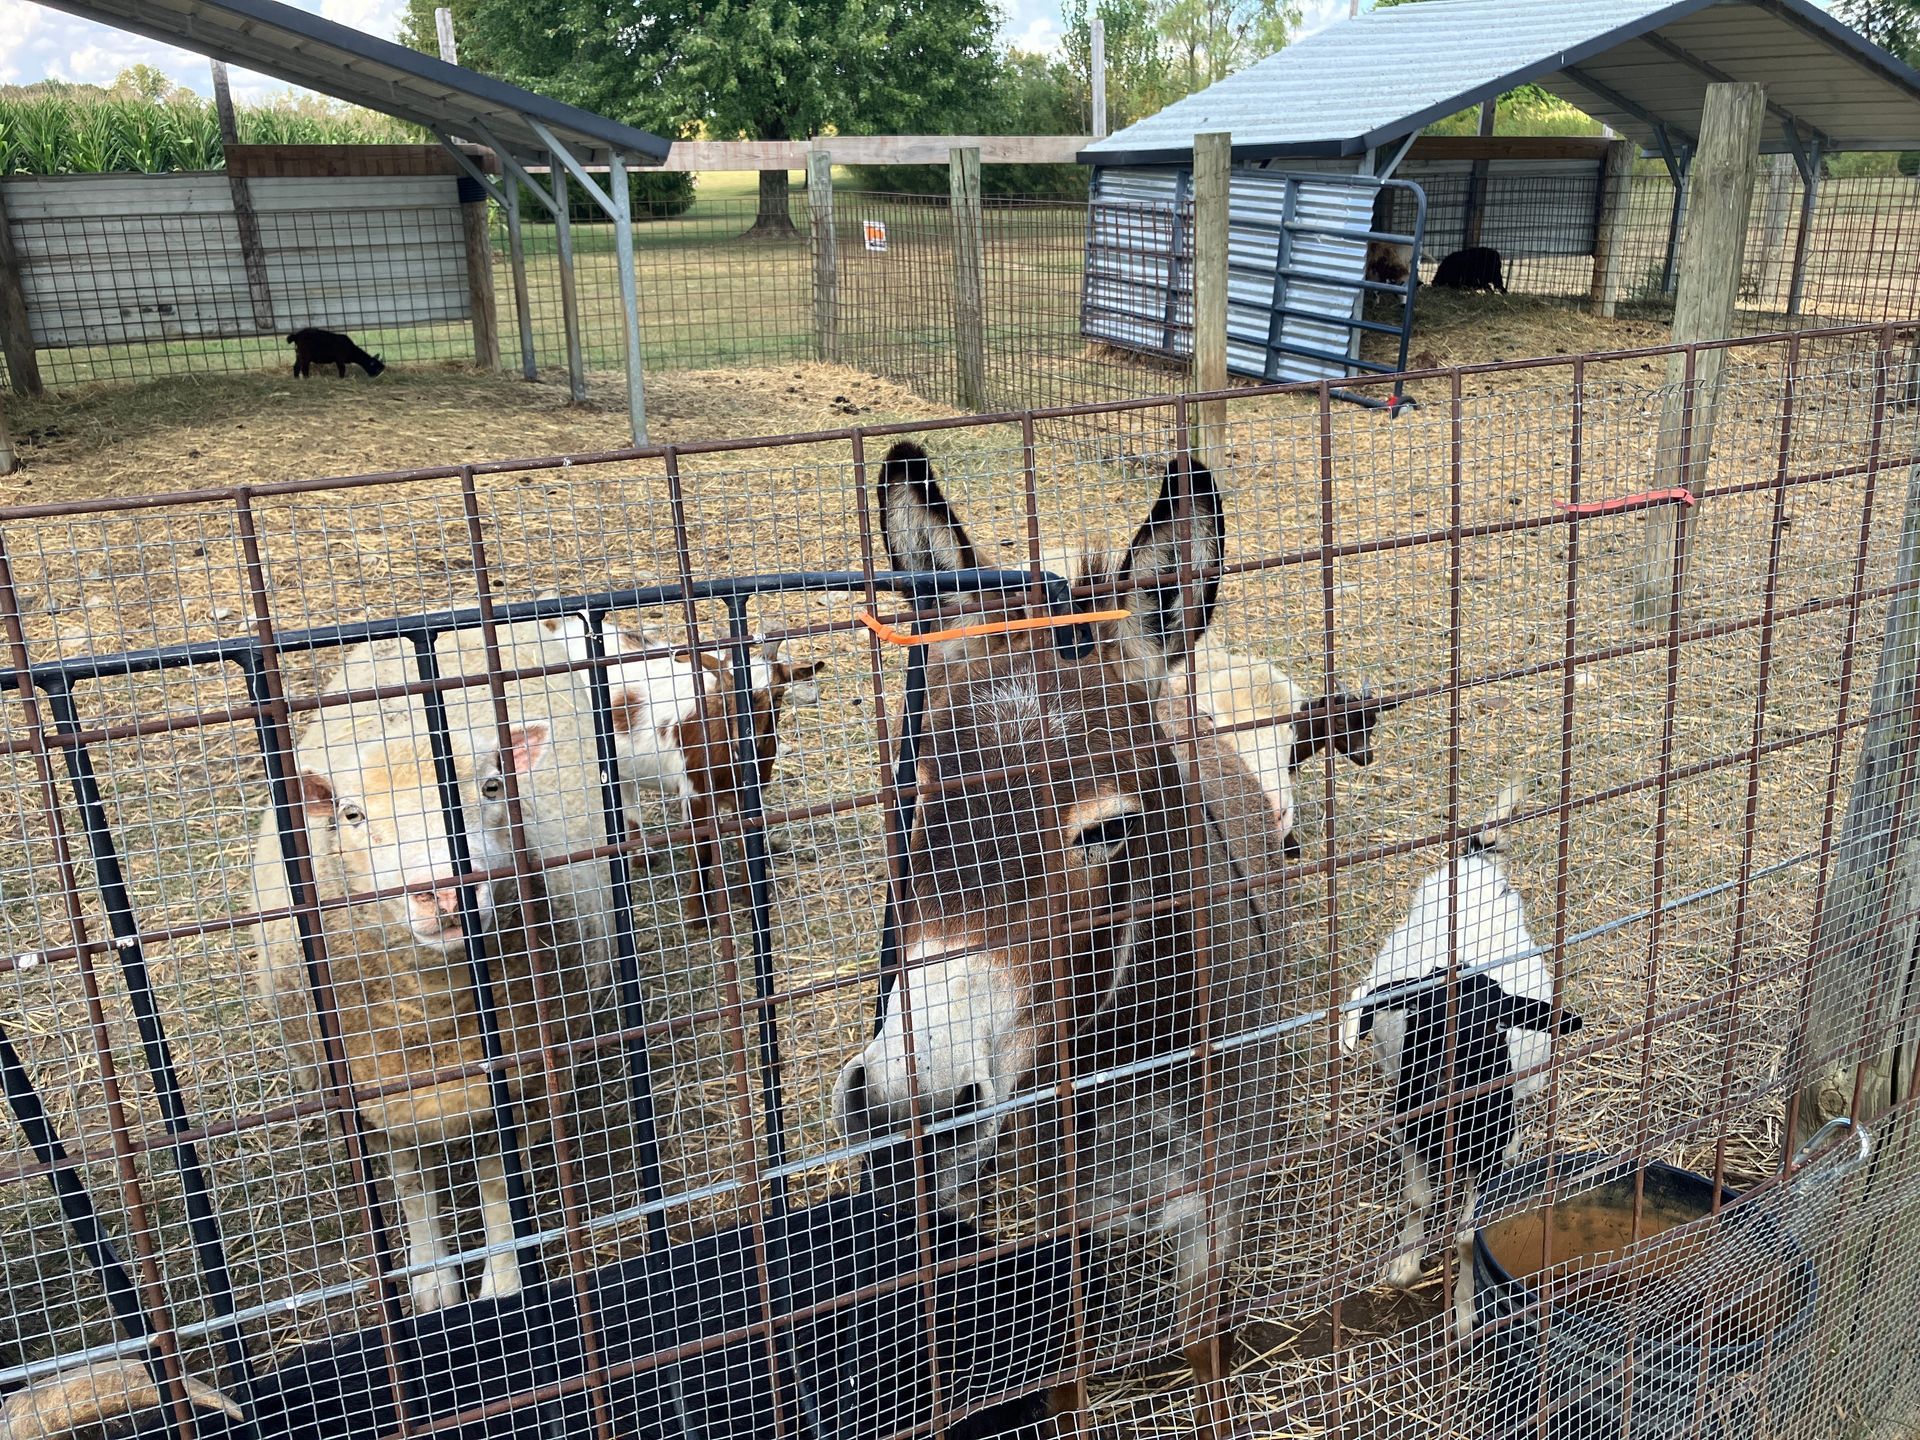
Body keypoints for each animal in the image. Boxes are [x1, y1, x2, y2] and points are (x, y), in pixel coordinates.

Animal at [1339, 784, 1581, 1340]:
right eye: (1419, 1022)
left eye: (1492, 1029)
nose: (1433, 1091)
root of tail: (1474, 864)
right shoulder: (1405, 1124)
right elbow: (1418, 1200)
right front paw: (1405, 1265)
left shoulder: (1486, 1152)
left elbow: (1471, 1236)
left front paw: (1468, 1315)